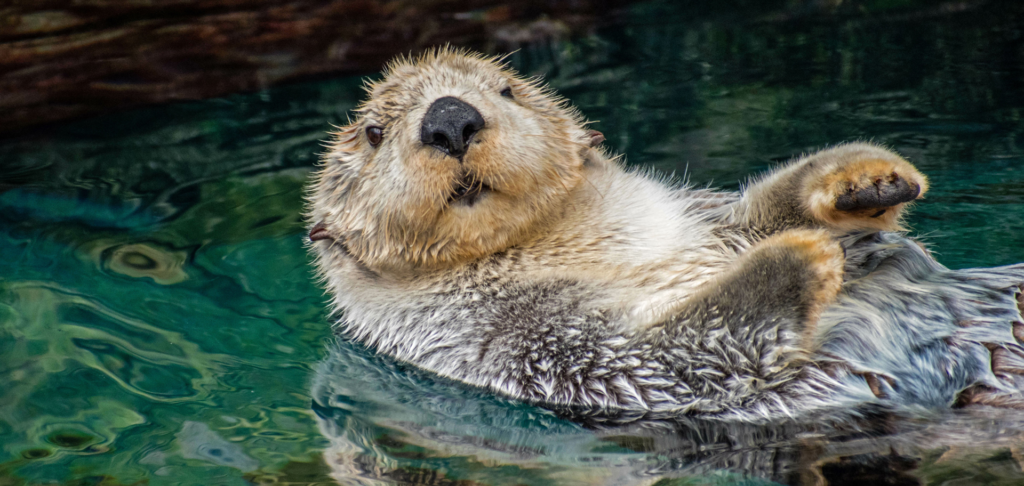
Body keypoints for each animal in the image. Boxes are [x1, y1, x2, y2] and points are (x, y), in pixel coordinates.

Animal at [307, 48, 1024, 421]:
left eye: (506, 90)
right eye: (374, 132)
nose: (451, 118)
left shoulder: (707, 223)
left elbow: (760, 210)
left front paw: (865, 178)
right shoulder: (517, 341)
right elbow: (670, 357)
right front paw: (799, 255)